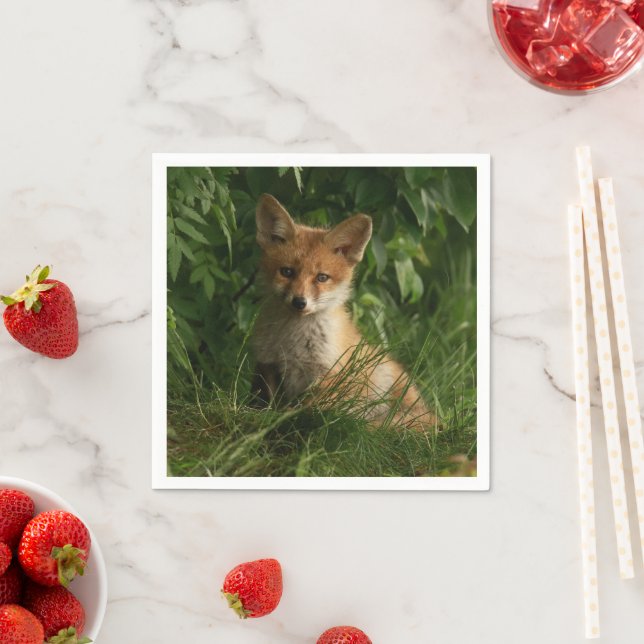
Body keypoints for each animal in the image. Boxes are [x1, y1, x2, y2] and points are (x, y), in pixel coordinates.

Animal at [250, 193, 436, 431]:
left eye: (322, 277)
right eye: (287, 272)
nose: (299, 302)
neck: (293, 343)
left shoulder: (329, 374)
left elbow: (307, 410)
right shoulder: (269, 364)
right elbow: (268, 403)